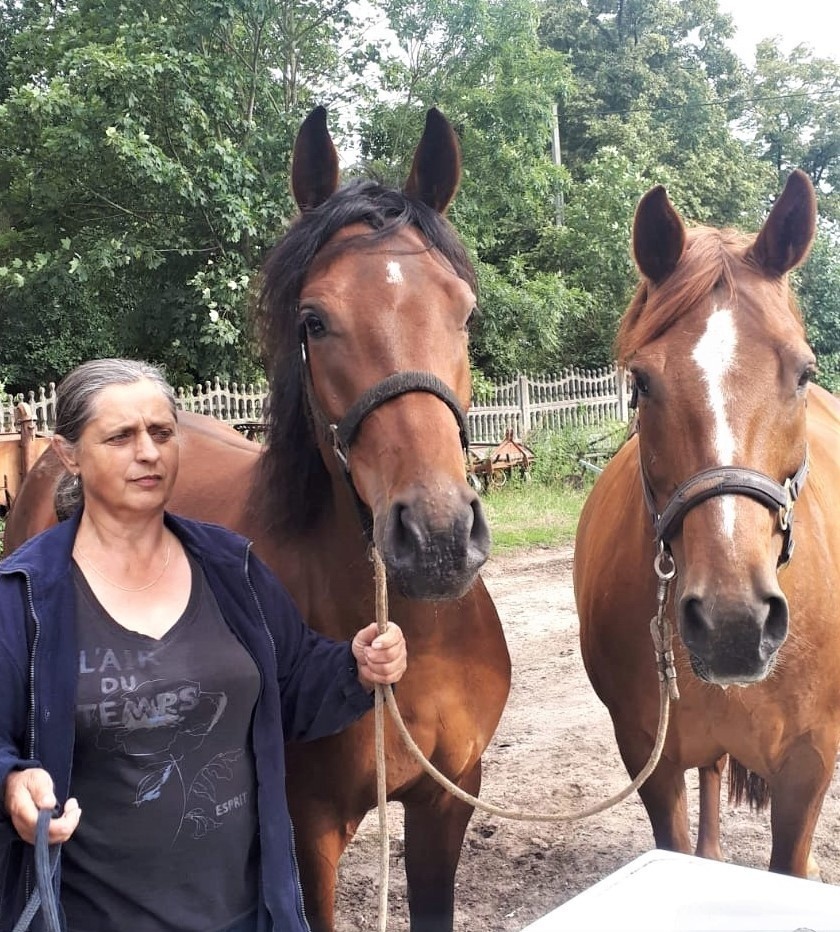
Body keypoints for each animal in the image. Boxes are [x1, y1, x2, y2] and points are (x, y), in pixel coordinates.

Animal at [4, 105, 512, 928]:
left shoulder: (448, 803)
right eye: (314, 321)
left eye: (464, 312)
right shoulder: (310, 833)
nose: (436, 538)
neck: (422, 638)